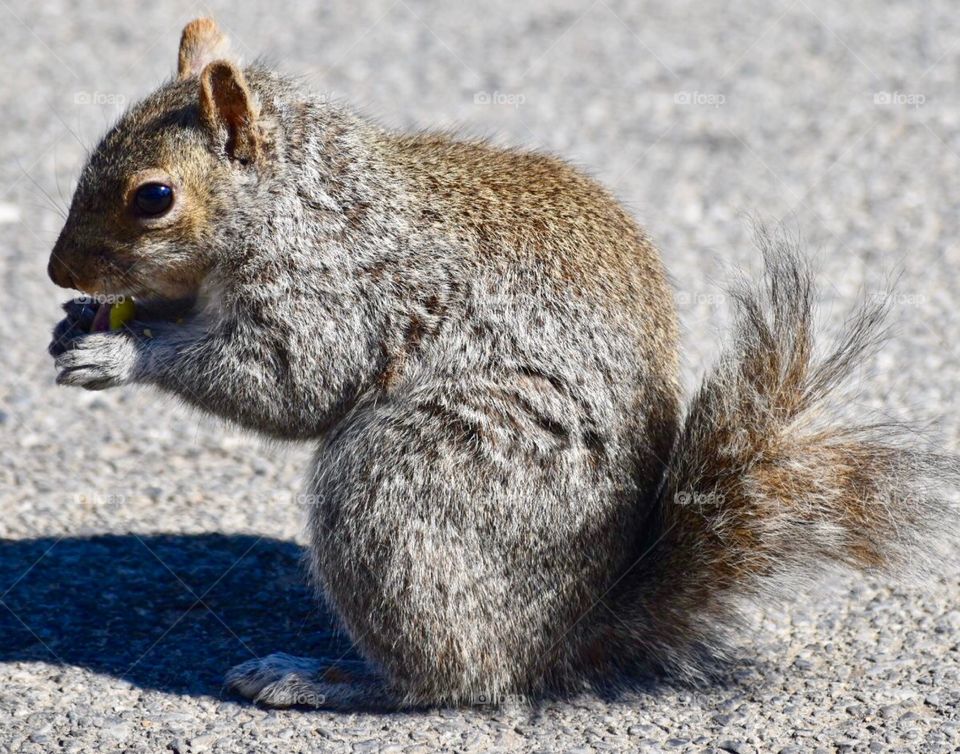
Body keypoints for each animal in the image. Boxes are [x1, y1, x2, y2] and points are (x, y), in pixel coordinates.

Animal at [47, 18, 958, 708]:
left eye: (154, 197)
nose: (58, 272)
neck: (299, 201)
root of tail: (565, 641)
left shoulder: (334, 291)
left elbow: (287, 383)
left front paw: (123, 351)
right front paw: (82, 323)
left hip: (406, 483)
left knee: (450, 679)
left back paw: (326, 678)